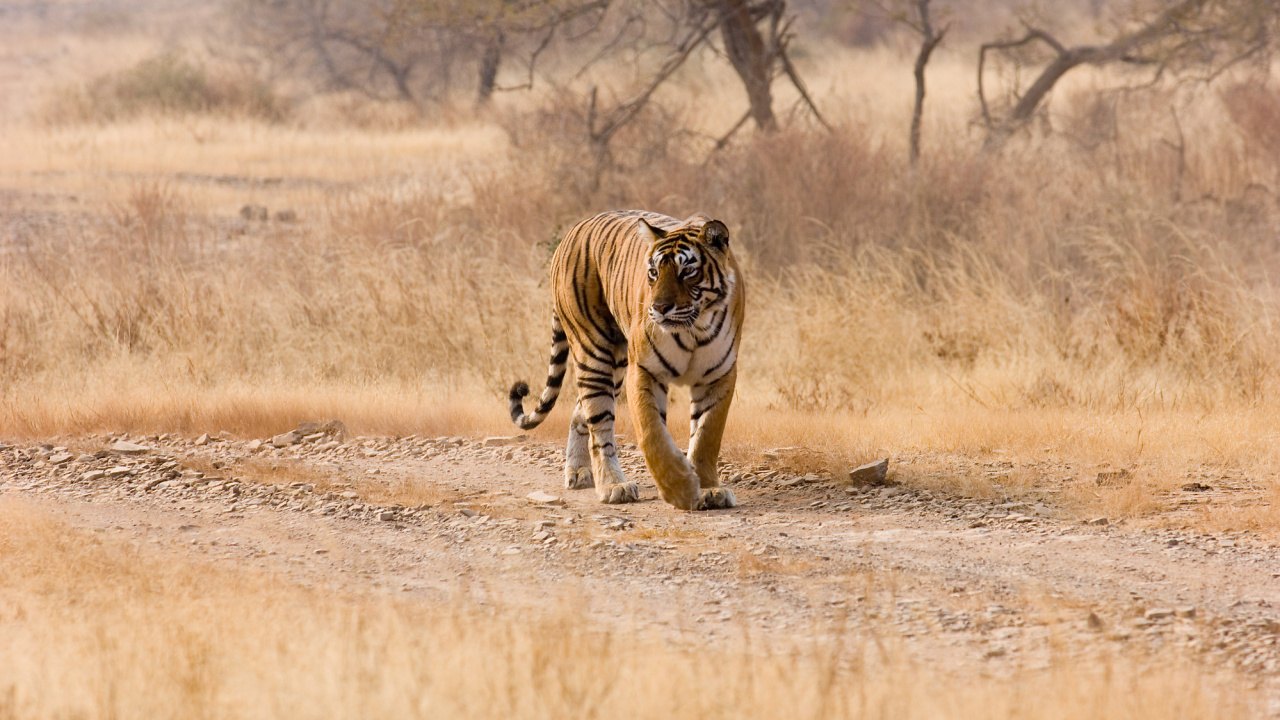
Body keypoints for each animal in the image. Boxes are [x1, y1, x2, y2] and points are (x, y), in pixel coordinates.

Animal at [508, 210, 745, 511]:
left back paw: (579, 472)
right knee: (599, 426)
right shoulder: (643, 370)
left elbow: (706, 436)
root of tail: (572, 231)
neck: (694, 330)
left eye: (687, 272)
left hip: (617, 365)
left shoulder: (719, 375)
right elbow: (652, 433)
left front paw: (709, 489)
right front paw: (680, 488)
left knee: (580, 411)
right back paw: (612, 486)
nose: (659, 308)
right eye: (653, 272)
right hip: (594, 352)